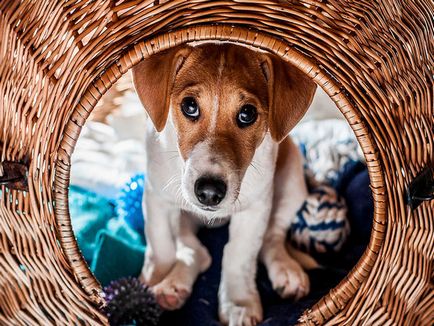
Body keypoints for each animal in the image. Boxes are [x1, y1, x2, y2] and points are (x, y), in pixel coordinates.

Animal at [131, 43, 316, 326]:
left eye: (247, 113)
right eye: (189, 106)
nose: (209, 192)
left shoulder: (254, 209)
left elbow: (238, 255)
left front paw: (239, 304)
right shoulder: (156, 196)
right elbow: (159, 243)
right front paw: (152, 281)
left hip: (293, 181)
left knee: (271, 239)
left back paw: (287, 271)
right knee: (197, 252)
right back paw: (172, 287)